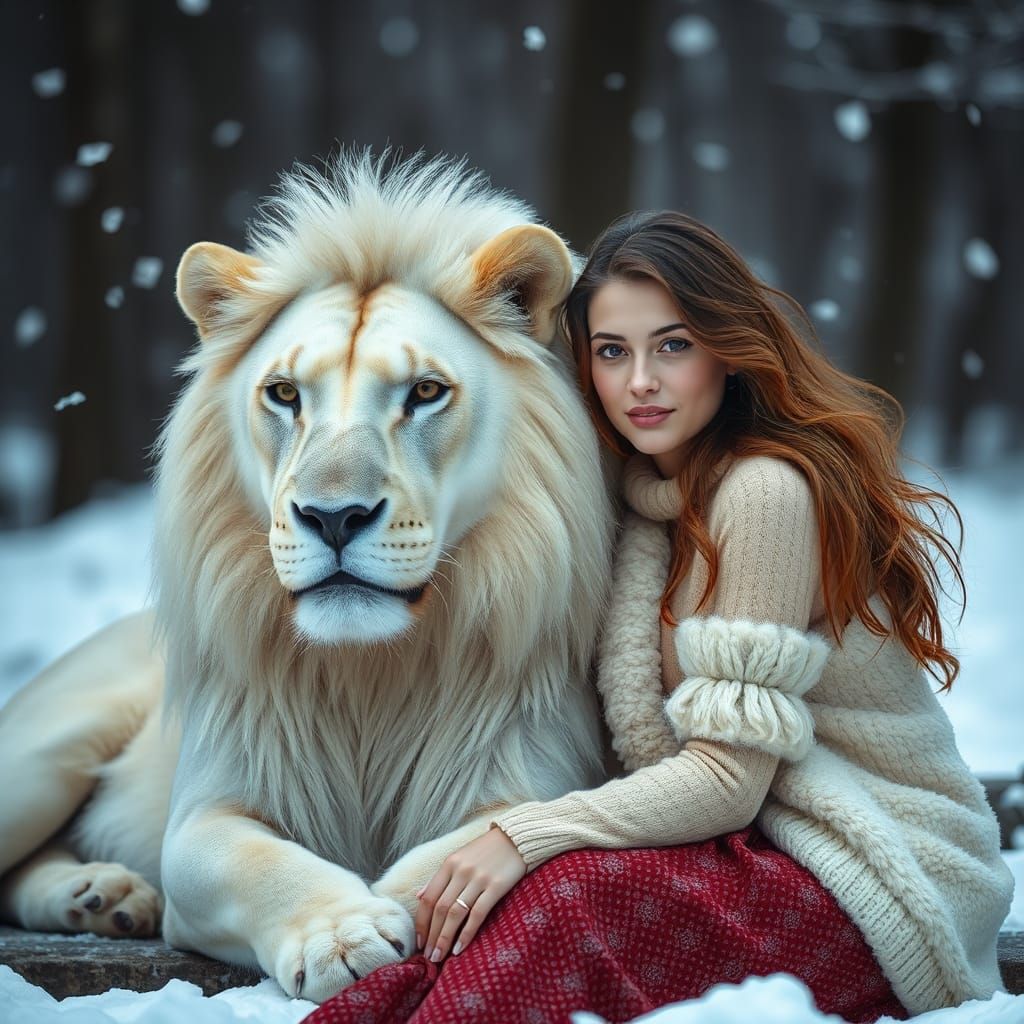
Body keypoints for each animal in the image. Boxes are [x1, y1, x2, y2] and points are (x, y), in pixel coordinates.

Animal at [0, 152, 613, 1002]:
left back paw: (102, 896)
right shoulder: (207, 810)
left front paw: (395, 912)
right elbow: (252, 861)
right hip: (45, 754)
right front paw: (342, 934)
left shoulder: (540, 775)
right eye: (285, 393)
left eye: (425, 391)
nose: (334, 516)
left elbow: (461, 854)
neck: (370, 677)